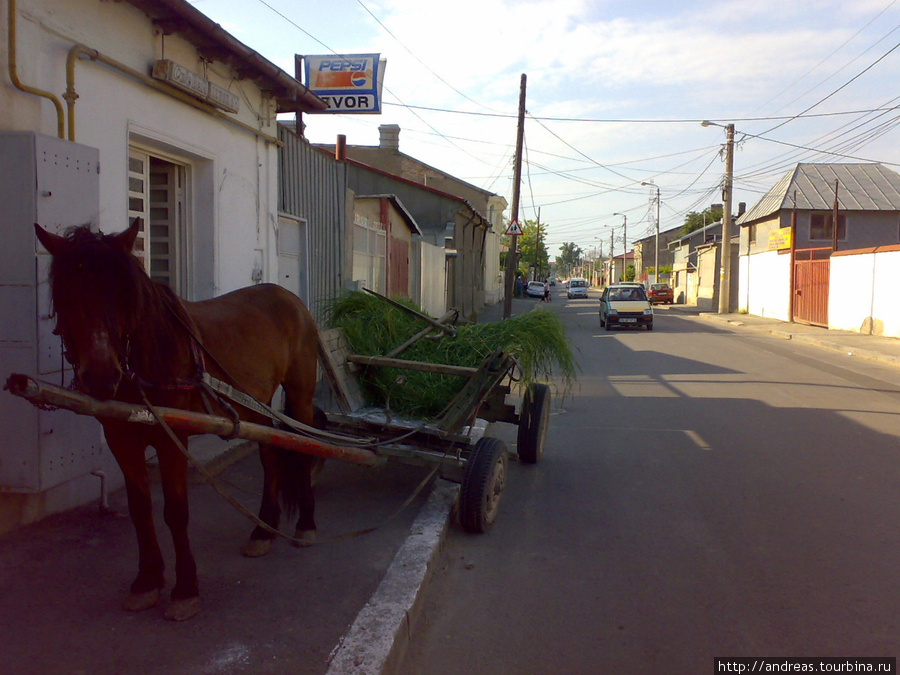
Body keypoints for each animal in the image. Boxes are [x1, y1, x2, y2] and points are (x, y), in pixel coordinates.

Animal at [36, 220, 324, 624]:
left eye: (123, 295)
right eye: (66, 295)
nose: (101, 377)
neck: (143, 359)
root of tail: (290, 298)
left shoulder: (171, 438)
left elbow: (175, 511)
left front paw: (185, 589)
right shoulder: (121, 440)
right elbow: (141, 510)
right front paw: (146, 581)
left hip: (299, 396)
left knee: (302, 449)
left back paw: (305, 525)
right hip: (258, 404)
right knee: (270, 458)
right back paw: (262, 531)